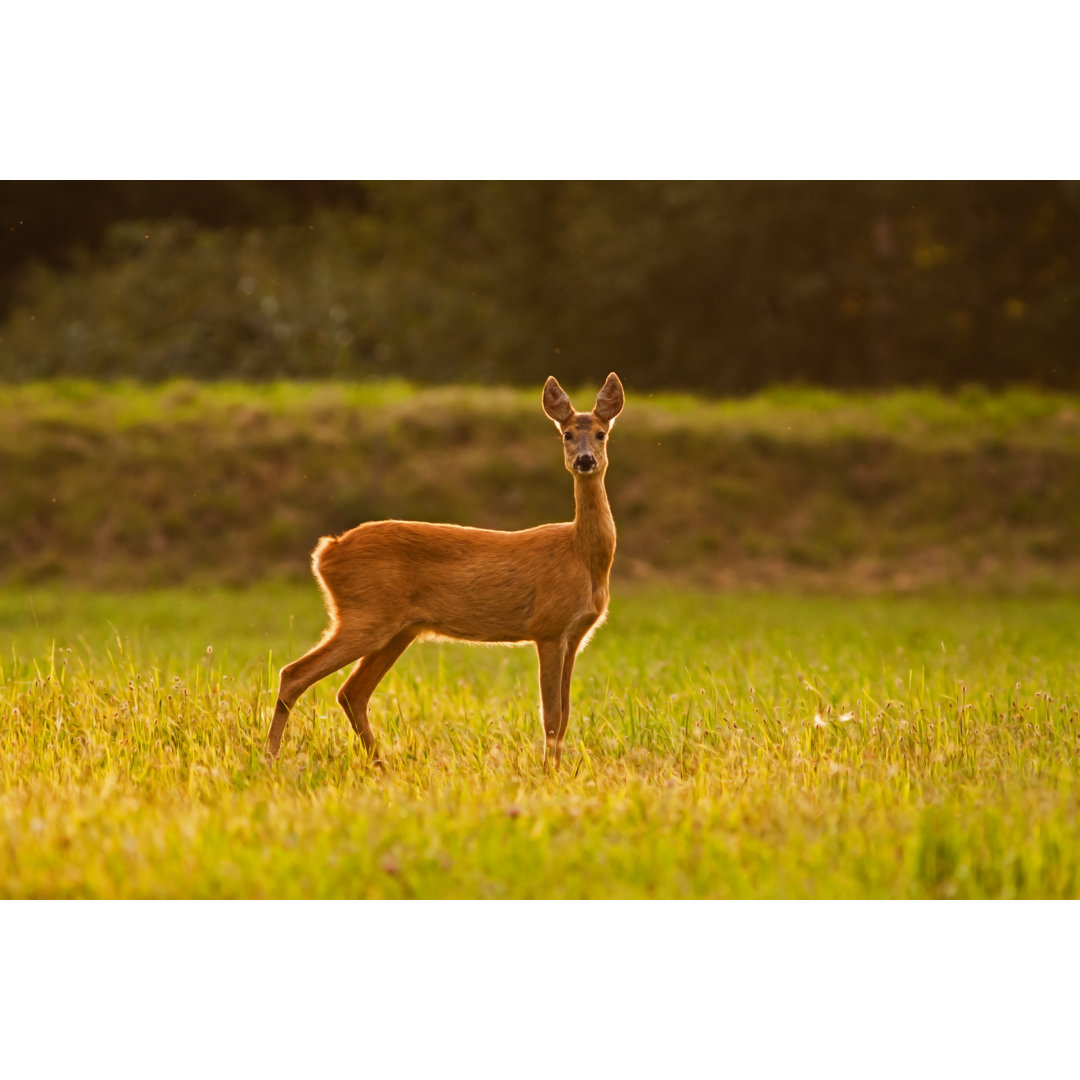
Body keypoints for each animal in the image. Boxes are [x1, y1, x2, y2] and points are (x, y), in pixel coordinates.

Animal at [263, 373, 626, 768]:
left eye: (601, 433)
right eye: (567, 434)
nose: (585, 460)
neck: (580, 555)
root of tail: (325, 551)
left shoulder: (574, 634)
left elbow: (565, 714)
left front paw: (558, 771)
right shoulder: (548, 626)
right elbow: (552, 716)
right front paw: (548, 774)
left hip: (398, 629)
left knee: (351, 692)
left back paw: (381, 766)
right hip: (366, 615)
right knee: (294, 674)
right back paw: (270, 759)